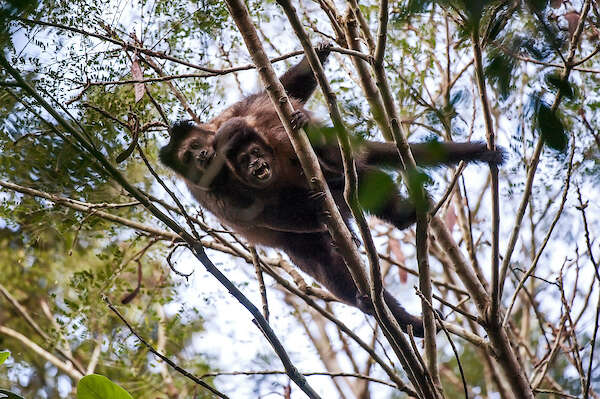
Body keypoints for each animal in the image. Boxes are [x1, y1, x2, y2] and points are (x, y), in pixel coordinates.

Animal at [161, 43, 506, 338]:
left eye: (194, 148)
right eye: (187, 158)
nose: (202, 158)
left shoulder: (242, 123)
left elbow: (278, 96)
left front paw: (317, 56)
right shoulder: (206, 189)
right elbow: (255, 215)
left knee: (354, 175)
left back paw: (396, 214)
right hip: (301, 241)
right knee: (327, 264)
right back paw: (382, 307)